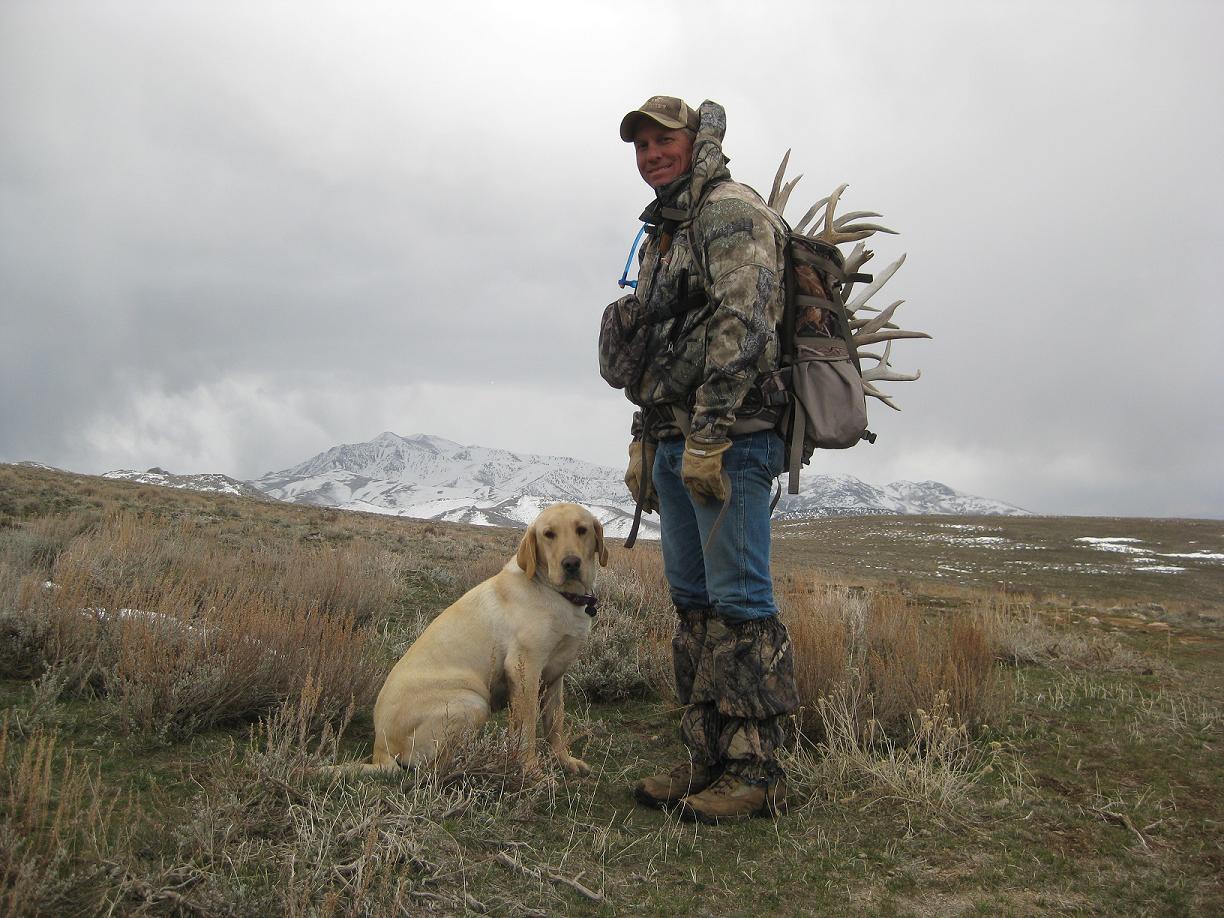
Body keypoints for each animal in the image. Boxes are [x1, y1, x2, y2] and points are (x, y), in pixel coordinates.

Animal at [335, 504, 607, 778]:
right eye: (548, 534)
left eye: (582, 530)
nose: (571, 564)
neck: (559, 594)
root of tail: (380, 747)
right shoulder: (524, 670)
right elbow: (528, 729)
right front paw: (532, 771)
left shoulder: (554, 676)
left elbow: (555, 724)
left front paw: (565, 761)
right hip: (473, 702)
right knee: (432, 769)